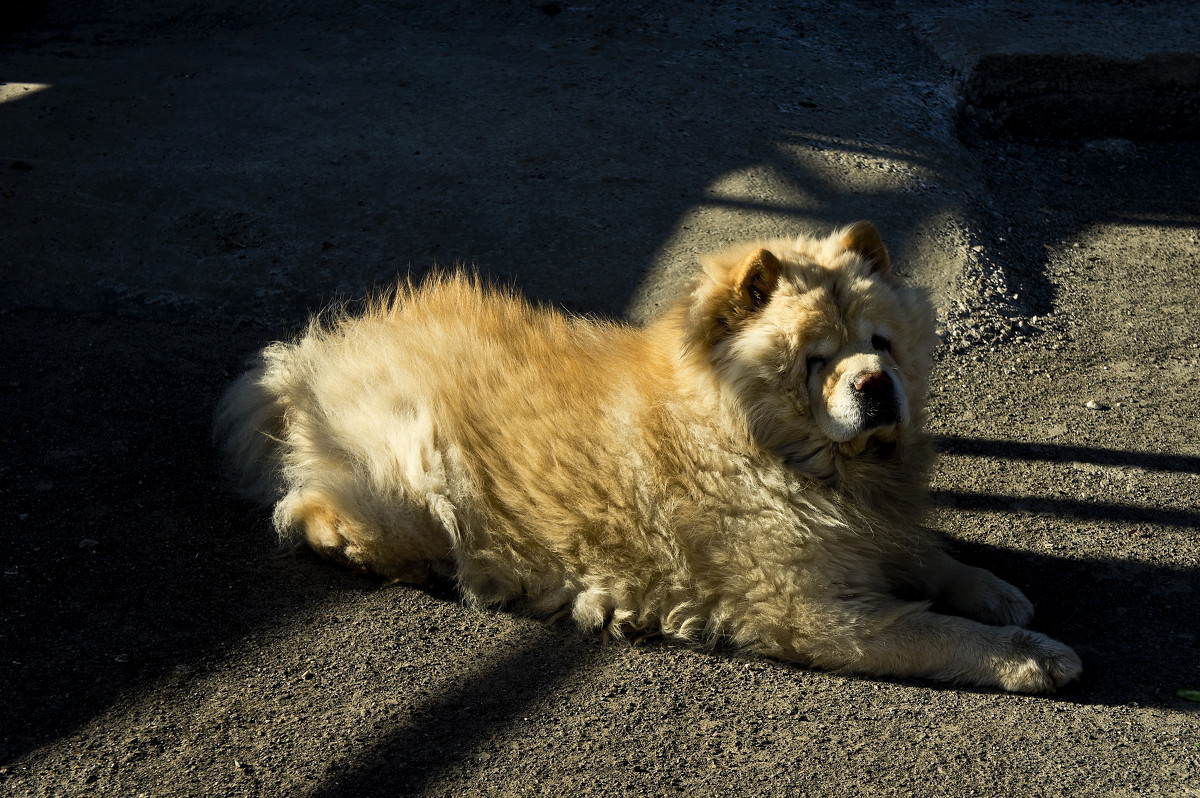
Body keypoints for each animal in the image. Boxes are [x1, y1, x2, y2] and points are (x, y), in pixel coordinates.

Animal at [213, 222, 1080, 691]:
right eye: (815, 359)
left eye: (882, 343)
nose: (876, 384)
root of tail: (313, 359)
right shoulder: (822, 612)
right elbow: (940, 634)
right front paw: (1034, 656)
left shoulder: (877, 532)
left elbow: (934, 556)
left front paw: (998, 590)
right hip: (410, 477)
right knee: (306, 509)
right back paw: (368, 550)